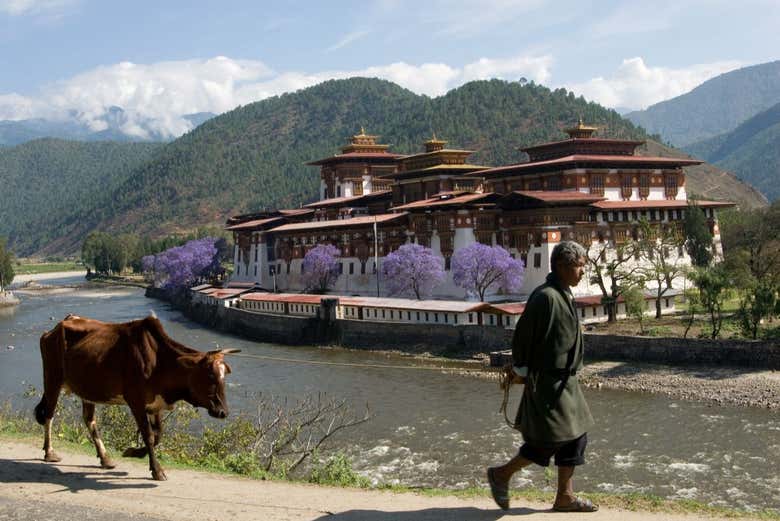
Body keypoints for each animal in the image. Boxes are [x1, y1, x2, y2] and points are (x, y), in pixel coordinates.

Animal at [33, 312, 239, 480]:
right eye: (210, 376)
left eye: (224, 377)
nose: (223, 412)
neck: (160, 360)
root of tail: (57, 326)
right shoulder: (136, 401)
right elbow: (149, 435)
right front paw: (156, 470)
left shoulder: (155, 404)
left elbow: (158, 434)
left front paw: (134, 452)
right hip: (52, 379)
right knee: (49, 415)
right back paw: (50, 452)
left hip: (86, 389)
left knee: (89, 419)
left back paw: (105, 458)